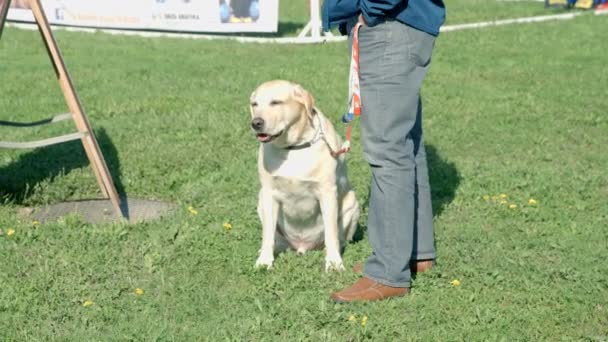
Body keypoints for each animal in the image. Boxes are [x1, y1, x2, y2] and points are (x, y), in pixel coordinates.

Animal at [249, 79, 358, 272]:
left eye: (275, 102)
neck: (293, 147)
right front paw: (264, 262)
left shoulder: (327, 192)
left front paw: (334, 263)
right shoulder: (269, 193)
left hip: (352, 204)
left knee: (340, 237)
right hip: (261, 202)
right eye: (255, 104)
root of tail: (303, 246)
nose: (256, 123)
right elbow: (267, 235)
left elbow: (331, 234)